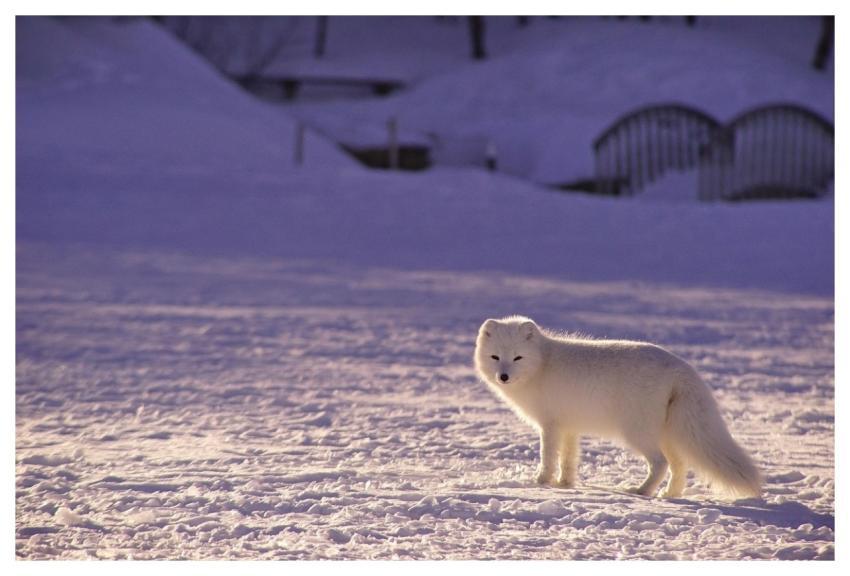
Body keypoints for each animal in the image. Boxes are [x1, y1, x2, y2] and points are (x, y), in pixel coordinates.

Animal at [474, 316, 761, 499]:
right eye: (495, 357)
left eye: (518, 358)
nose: (503, 377)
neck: (542, 364)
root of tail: (681, 367)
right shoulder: (569, 427)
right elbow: (568, 459)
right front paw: (565, 484)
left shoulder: (550, 425)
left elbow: (548, 457)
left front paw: (541, 482)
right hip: (668, 434)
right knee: (679, 465)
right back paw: (670, 494)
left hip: (637, 432)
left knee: (660, 463)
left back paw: (642, 491)